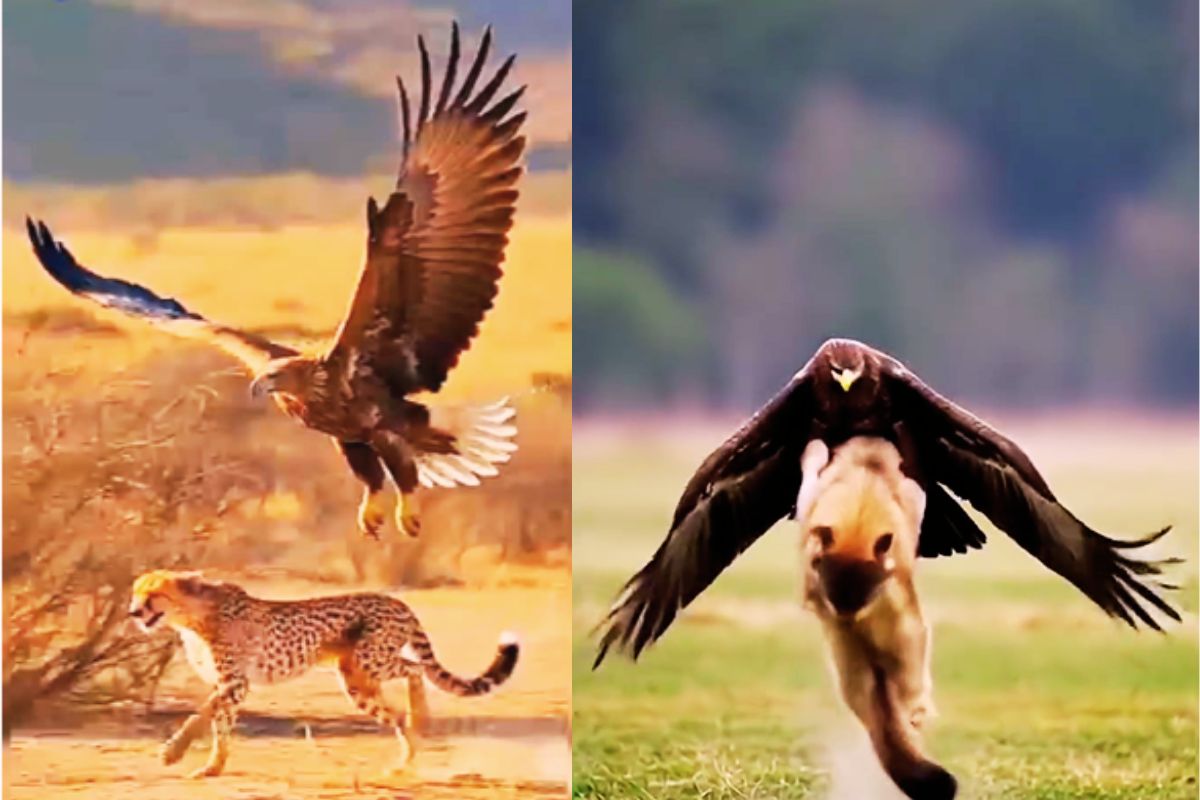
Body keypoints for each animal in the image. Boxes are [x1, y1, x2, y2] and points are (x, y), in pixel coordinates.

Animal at [128, 570, 518, 778]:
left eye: (153, 594)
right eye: (136, 592)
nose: (133, 611)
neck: (195, 614)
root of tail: (397, 601)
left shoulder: (234, 682)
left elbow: (200, 714)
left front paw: (173, 752)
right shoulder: (230, 687)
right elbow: (219, 726)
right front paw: (212, 768)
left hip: (369, 660)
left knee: (416, 667)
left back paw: (421, 716)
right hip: (357, 680)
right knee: (396, 712)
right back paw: (405, 758)